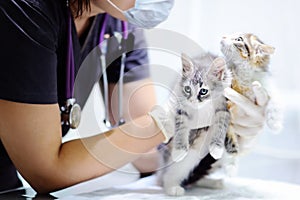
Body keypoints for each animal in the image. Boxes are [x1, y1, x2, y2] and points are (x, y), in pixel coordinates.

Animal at [157, 52, 232, 196]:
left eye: (203, 91)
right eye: (187, 89)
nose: (192, 101)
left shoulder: (224, 107)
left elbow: (221, 125)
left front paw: (217, 148)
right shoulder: (180, 107)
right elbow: (181, 127)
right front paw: (179, 150)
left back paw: (214, 183)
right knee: (167, 176)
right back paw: (172, 188)